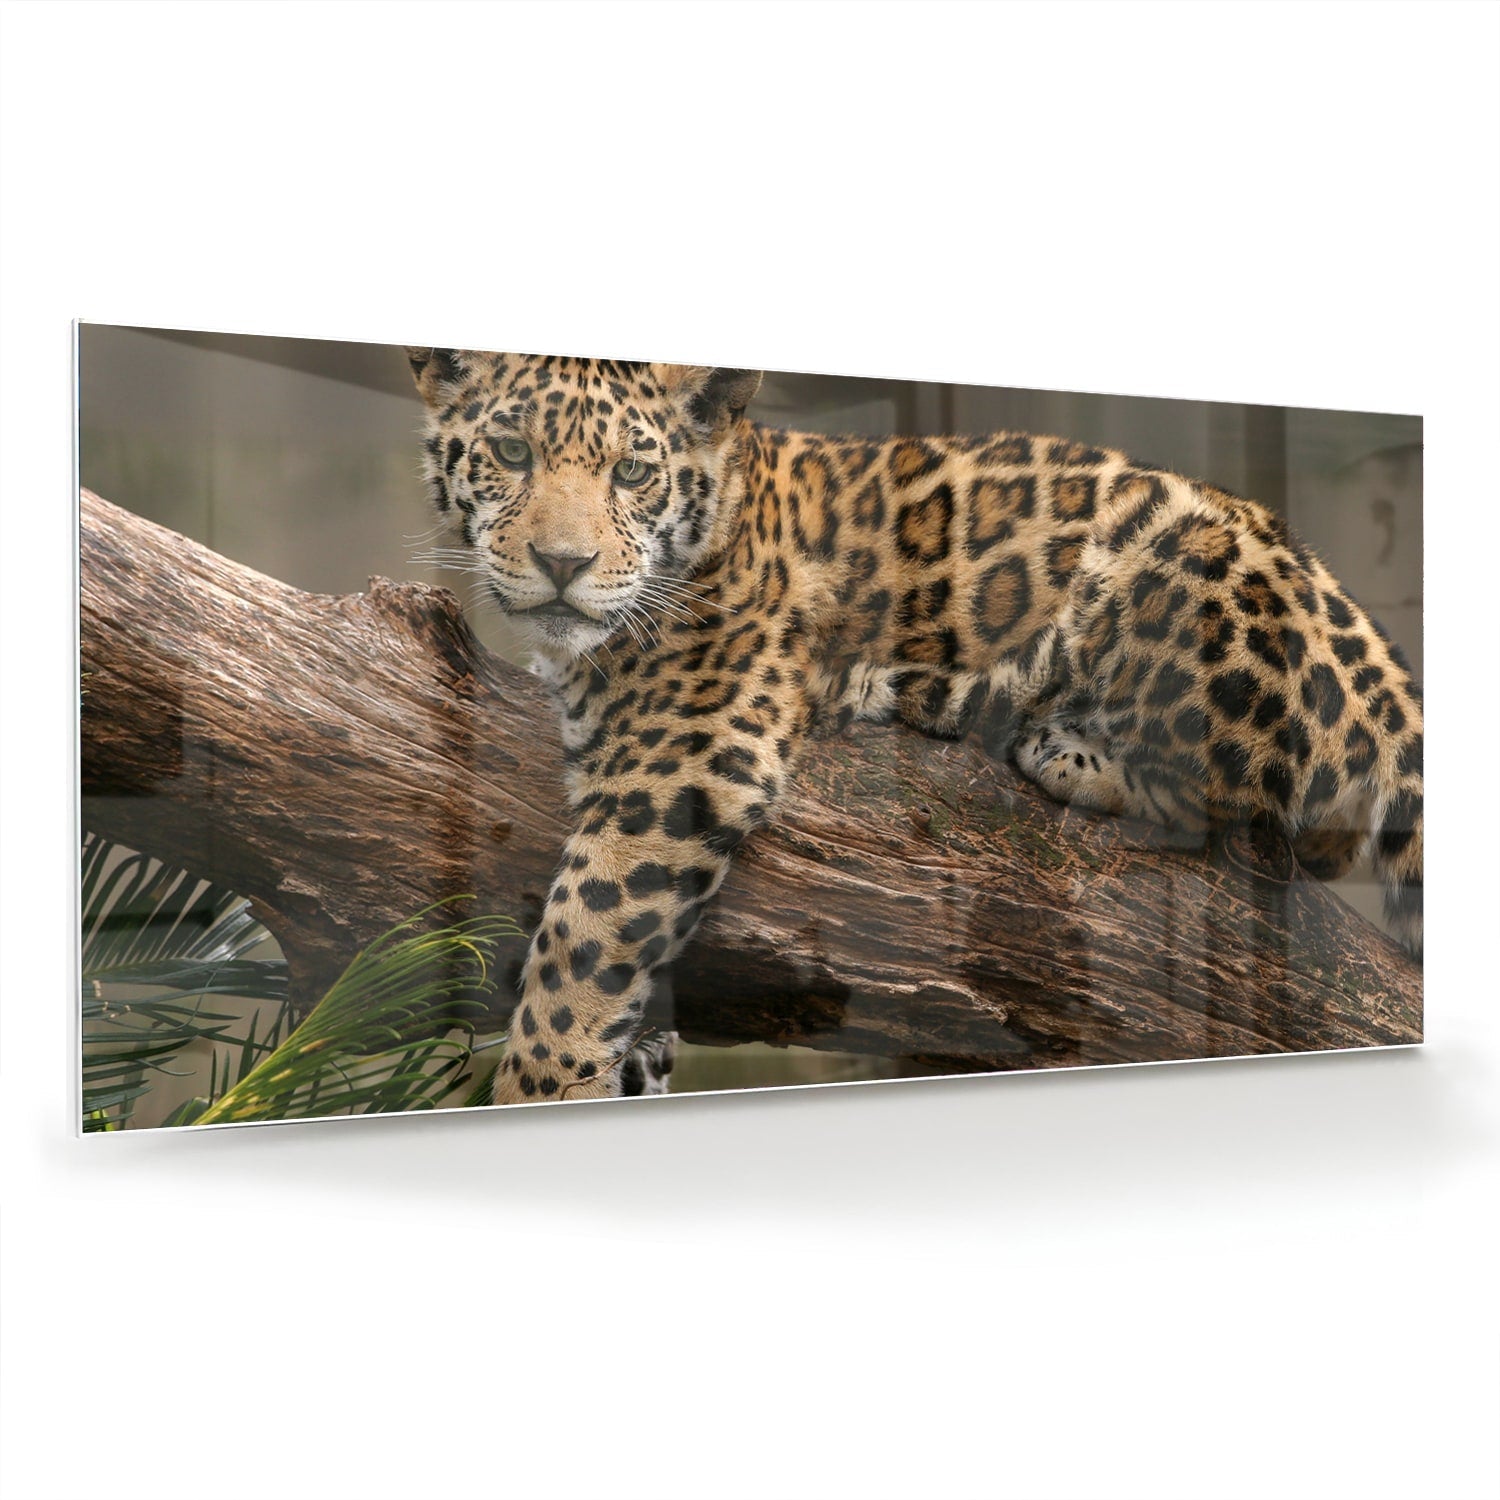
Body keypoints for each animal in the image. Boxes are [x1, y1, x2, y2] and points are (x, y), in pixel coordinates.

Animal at [407, 348, 1424, 1104]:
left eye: (631, 471)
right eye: (511, 452)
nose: (563, 564)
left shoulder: (688, 749)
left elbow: (584, 935)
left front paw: (537, 1084)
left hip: (1180, 563)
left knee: (1251, 801)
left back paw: (1047, 736)